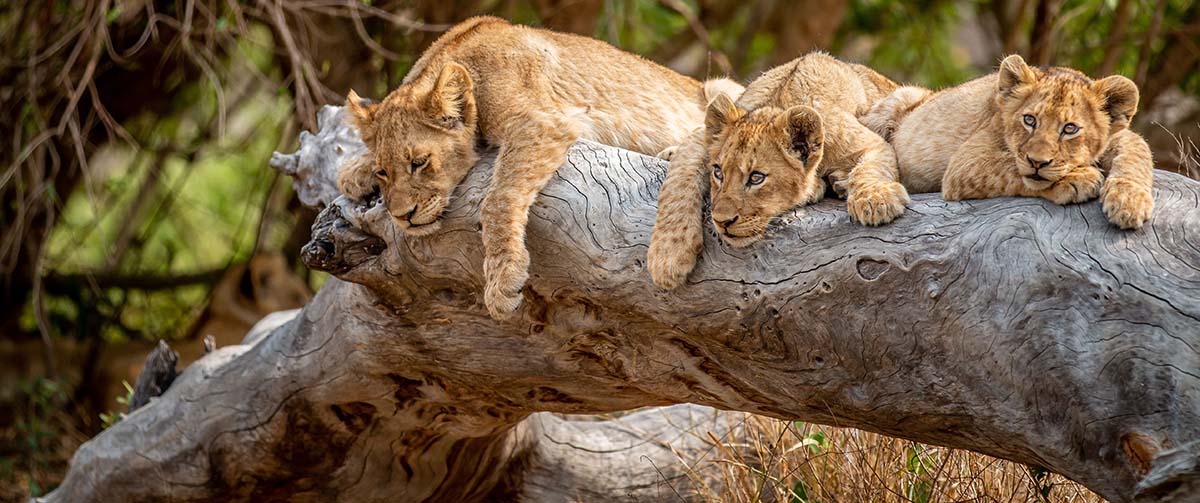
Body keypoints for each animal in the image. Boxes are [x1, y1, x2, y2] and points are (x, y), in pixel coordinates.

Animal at [338, 16, 743, 318]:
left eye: (419, 163)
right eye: (384, 172)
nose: (402, 217)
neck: (460, 57)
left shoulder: (542, 121)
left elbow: (498, 200)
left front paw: (503, 281)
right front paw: (353, 171)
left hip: (723, 89)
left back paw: (672, 152)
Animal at [647, 52, 905, 289]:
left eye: (756, 178)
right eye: (718, 173)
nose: (722, 221)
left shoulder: (870, 144)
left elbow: (871, 168)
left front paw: (876, 201)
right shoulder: (700, 141)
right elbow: (677, 181)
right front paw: (667, 257)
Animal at [863, 54, 1153, 229]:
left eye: (1070, 129)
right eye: (1029, 120)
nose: (1037, 162)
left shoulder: (1121, 136)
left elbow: (1138, 151)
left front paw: (1130, 202)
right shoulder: (964, 165)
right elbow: (1009, 167)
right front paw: (1078, 179)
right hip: (898, 99)